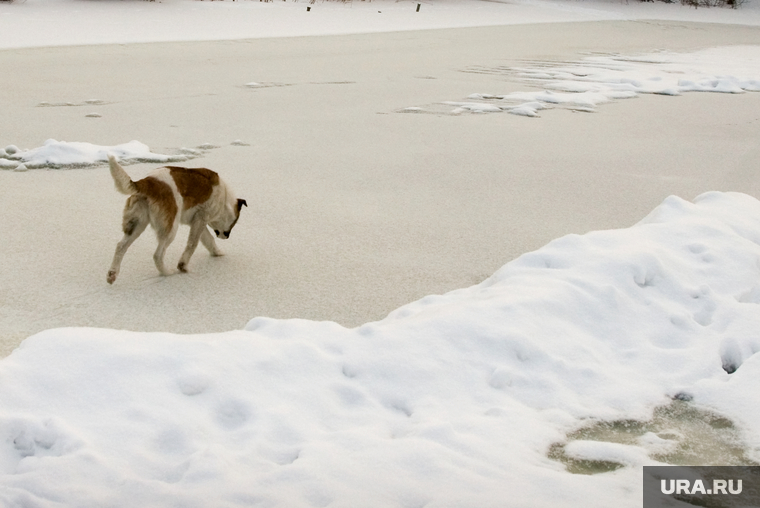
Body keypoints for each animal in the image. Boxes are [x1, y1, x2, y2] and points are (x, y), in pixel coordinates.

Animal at [104, 153, 245, 284]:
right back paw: (167, 272)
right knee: (157, 255)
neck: (224, 199)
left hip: (137, 224)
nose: (227, 236)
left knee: (121, 246)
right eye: (234, 222)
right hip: (170, 229)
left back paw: (112, 274)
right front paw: (183, 266)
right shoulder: (201, 218)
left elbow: (208, 240)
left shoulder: (197, 221)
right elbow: (192, 244)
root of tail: (148, 182)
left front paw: (217, 252)